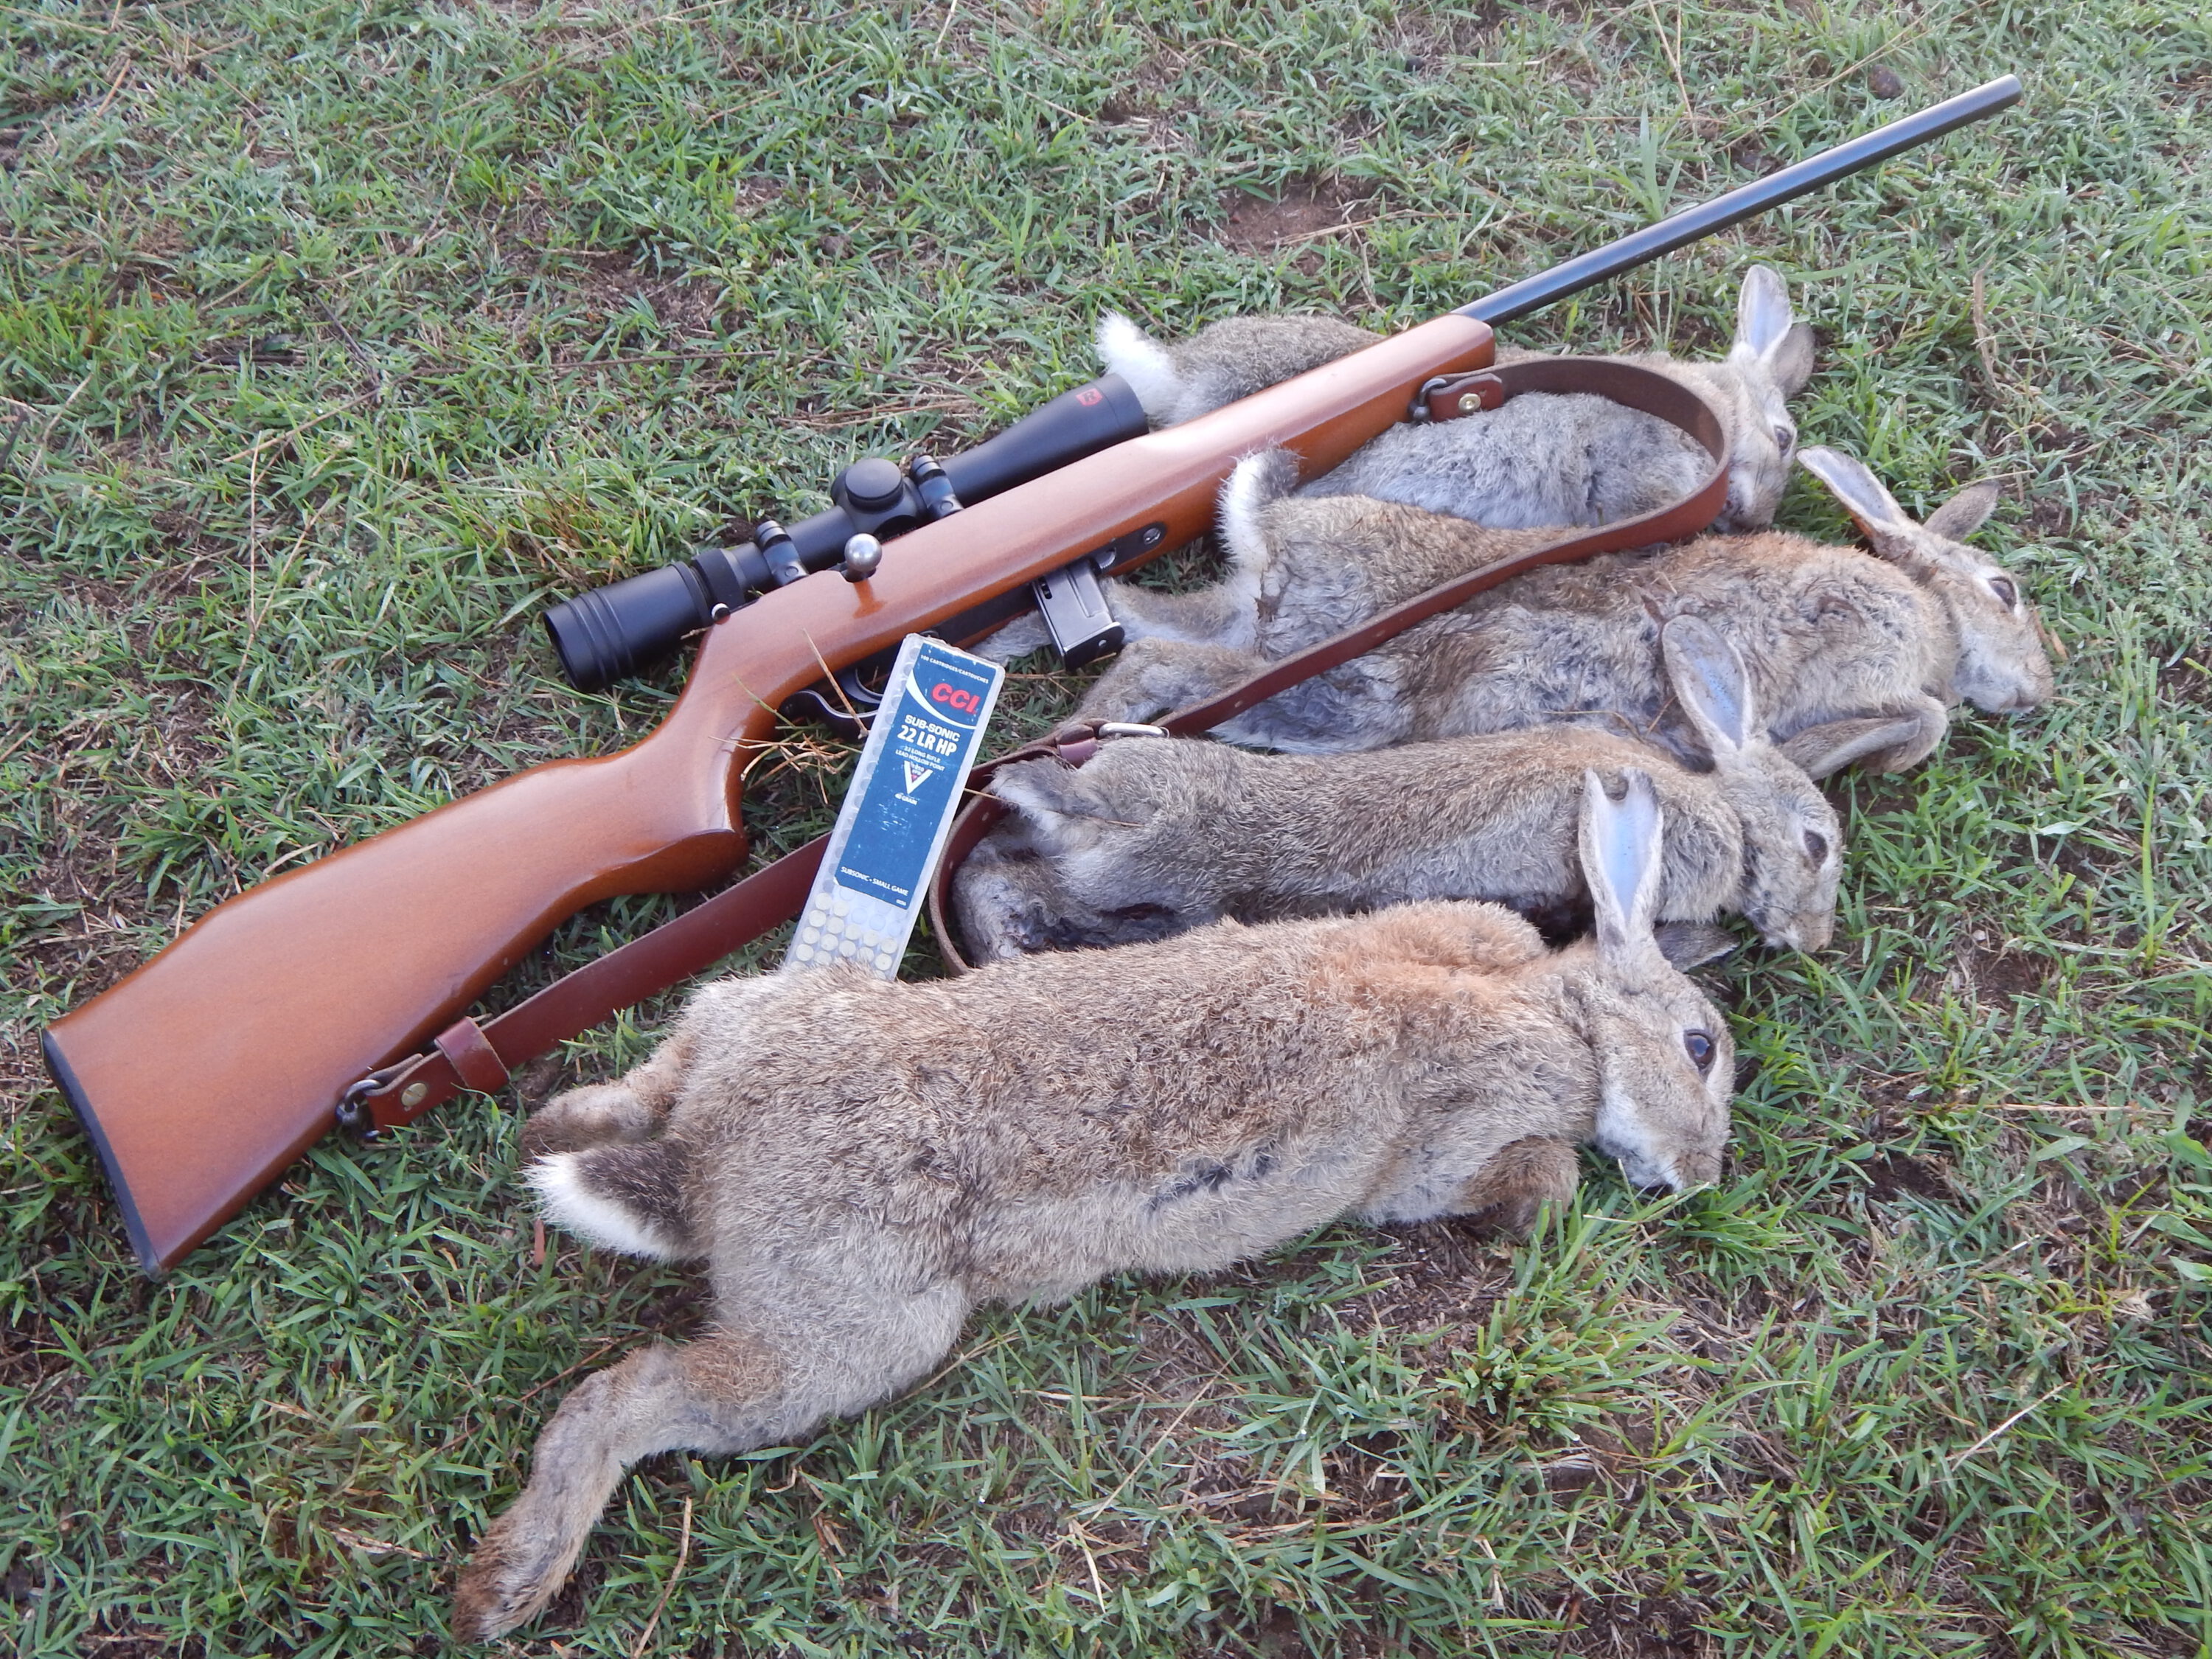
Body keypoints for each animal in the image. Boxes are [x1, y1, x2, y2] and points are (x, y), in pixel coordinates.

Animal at [445, 774, 1725, 1646]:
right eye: (1703, 1047)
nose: (1699, 1174)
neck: (1556, 1012)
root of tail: (712, 1158)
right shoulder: (1452, 1143)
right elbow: (1529, 1178)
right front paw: (1538, 1210)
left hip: (734, 1027)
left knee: (648, 1079)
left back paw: (556, 1124)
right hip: (852, 1329)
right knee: (629, 1394)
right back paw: (507, 1583)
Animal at [1075, 445, 2053, 779]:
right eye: (2005, 591)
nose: (2041, 690)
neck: (1929, 612)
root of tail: (1270, 528)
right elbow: (1924, 717)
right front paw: (1840, 757)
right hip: (1346, 685)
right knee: (1171, 669)